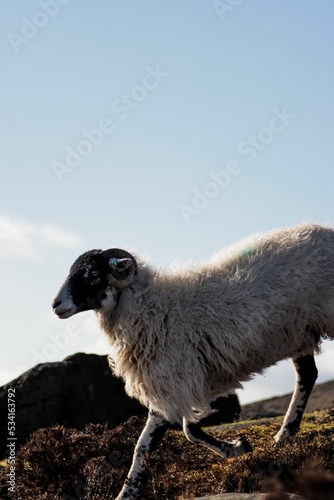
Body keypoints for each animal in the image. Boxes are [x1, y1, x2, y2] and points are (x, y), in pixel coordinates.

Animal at [51, 224, 334, 500]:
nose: (55, 304)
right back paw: (285, 434)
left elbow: (172, 437)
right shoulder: (173, 384)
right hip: (298, 333)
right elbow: (153, 442)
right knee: (307, 375)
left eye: (94, 273)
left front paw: (237, 448)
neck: (149, 308)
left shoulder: (173, 380)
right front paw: (126, 493)